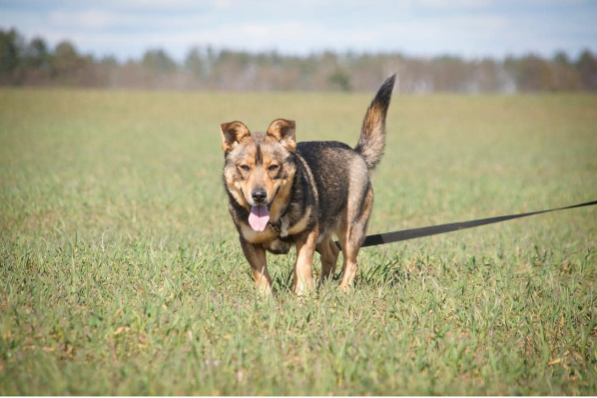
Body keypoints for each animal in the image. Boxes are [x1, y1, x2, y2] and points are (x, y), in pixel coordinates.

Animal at [219, 74, 396, 294]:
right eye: (244, 167)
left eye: (273, 167)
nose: (258, 195)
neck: (275, 220)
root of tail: (357, 154)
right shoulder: (249, 242)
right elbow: (261, 276)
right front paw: (266, 299)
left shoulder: (307, 233)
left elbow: (302, 265)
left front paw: (303, 295)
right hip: (324, 229)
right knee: (332, 252)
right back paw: (324, 286)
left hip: (351, 228)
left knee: (351, 262)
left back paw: (342, 291)